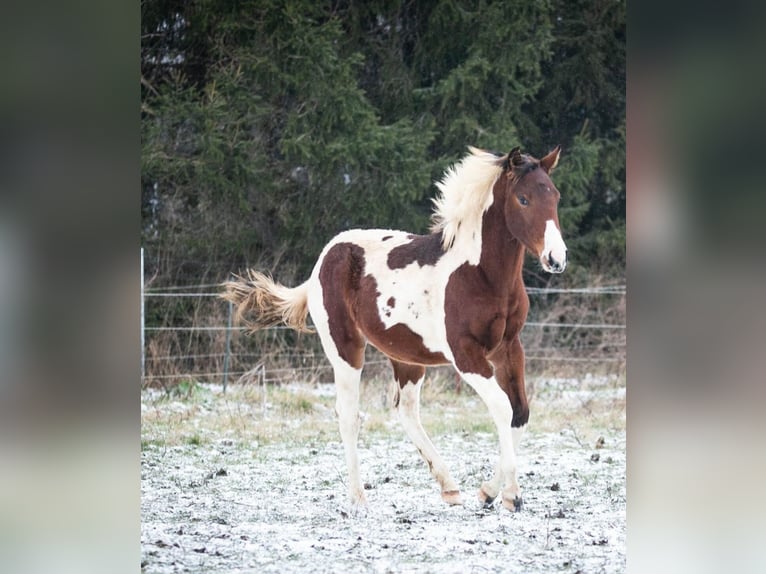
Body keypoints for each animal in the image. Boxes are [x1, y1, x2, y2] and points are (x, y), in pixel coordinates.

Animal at [219, 146, 568, 516]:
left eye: (555, 196)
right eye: (523, 199)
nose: (556, 258)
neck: (481, 275)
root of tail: (322, 261)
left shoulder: (509, 348)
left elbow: (520, 412)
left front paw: (488, 492)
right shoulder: (465, 354)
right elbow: (503, 406)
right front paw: (511, 495)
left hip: (407, 357)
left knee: (406, 411)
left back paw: (449, 487)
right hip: (345, 349)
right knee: (349, 415)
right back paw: (358, 498)